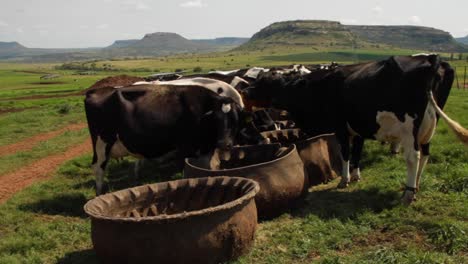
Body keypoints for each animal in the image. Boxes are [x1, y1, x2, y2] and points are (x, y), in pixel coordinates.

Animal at [85, 84, 243, 196]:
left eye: (235, 120)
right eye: (216, 120)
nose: (224, 143)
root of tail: (97, 91)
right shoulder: (185, 149)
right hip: (102, 143)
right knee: (98, 168)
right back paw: (99, 193)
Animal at [243, 54, 466, 204]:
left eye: (266, 83)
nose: (245, 91)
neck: (316, 87)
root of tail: (431, 58)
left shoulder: (341, 128)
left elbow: (345, 153)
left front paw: (345, 179)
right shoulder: (359, 128)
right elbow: (357, 153)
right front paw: (357, 176)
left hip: (410, 128)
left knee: (413, 157)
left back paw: (409, 192)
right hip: (429, 127)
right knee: (426, 154)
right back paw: (417, 185)